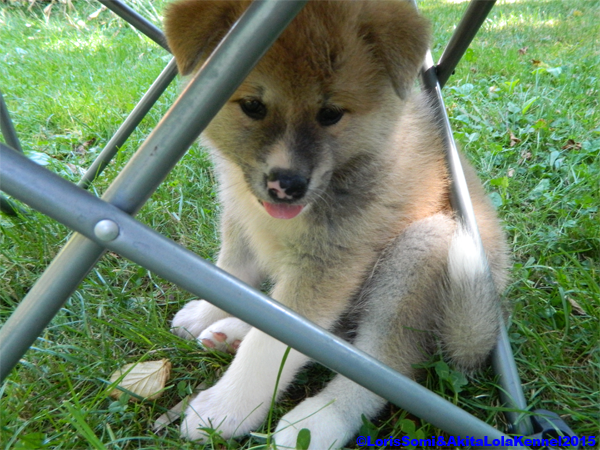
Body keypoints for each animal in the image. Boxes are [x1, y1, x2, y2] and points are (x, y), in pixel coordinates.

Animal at [163, 0, 509, 448]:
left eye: (330, 114)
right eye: (253, 106)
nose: (286, 185)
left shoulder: (329, 265)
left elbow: (273, 342)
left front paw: (227, 409)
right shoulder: (240, 219)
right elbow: (232, 276)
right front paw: (207, 313)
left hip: (423, 248)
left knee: (383, 366)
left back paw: (320, 420)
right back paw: (231, 333)